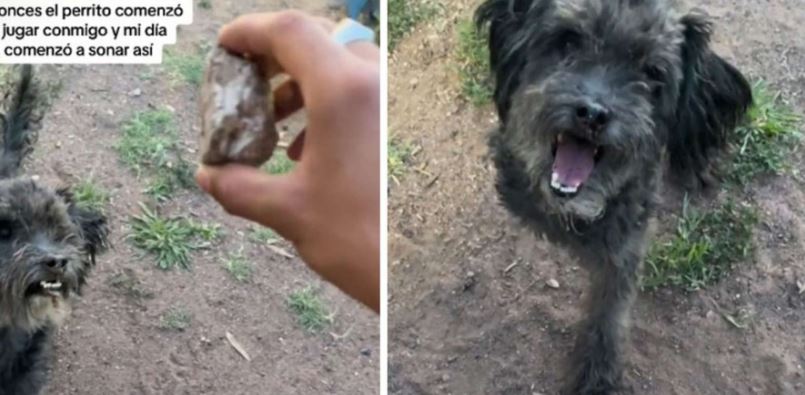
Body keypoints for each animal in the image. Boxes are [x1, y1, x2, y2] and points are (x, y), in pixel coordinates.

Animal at [474, 0, 752, 394]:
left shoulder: (626, 244)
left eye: (651, 71)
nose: (592, 113)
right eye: (568, 41)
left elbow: (609, 311)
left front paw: (596, 376)